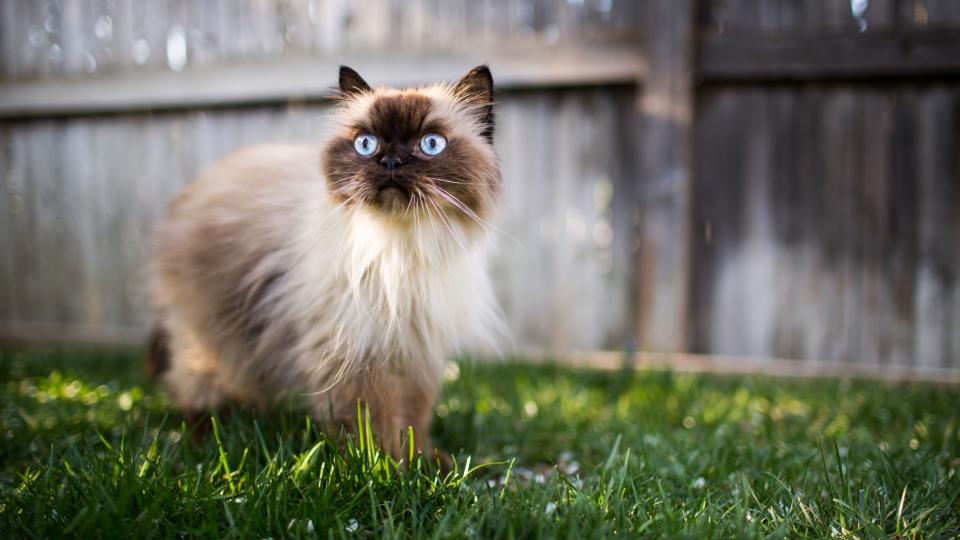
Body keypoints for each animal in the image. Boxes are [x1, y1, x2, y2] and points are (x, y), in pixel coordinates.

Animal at [148, 63, 502, 460]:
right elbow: (371, 421)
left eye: (431, 144)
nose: (390, 161)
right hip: (213, 338)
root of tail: (192, 188)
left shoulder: (413, 348)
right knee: (198, 386)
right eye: (366, 144)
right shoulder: (356, 348)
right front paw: (381, 466)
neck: (400, 248)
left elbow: (412, 417)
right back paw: (209, 439)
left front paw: (422, 461)